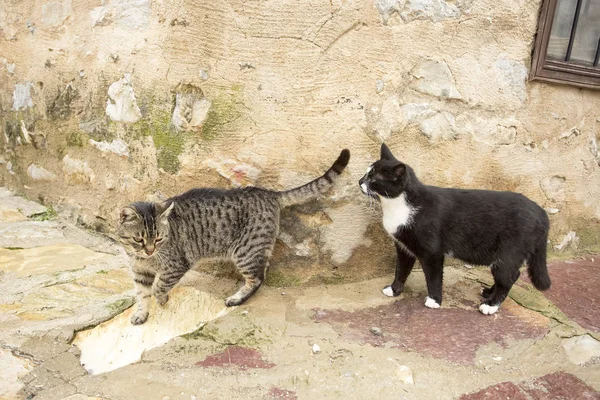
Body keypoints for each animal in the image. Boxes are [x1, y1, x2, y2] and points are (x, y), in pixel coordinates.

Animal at [118, 150, 352, 324]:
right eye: (139, 240)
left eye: (158, 239)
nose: (150, 250)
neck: (144, 258)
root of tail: (268, 193)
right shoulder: (140, 273)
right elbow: (142, 294)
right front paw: (141, 314)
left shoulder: (175, 265)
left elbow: (158, 286)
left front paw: (162, 299)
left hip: (246, 251)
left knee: (257, 278)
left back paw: (236, 299)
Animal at [358, 144, 552, 316]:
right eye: (366, 174)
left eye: (373, 179)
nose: (360, 182)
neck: (398, 205)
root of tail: (542, 213)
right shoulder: (404, 248)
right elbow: (401, 270)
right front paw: (394, 289)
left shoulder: (432, 252)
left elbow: (434, 277)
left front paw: (434, 300)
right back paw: (489, 292)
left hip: (509, 253)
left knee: (509, 277)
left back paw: (491, 305)